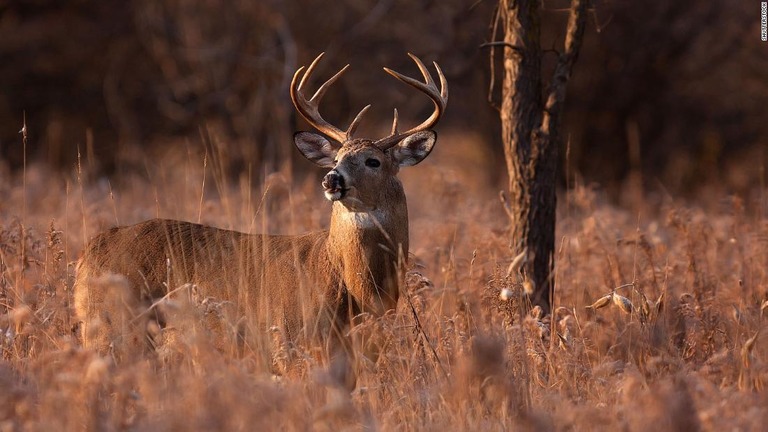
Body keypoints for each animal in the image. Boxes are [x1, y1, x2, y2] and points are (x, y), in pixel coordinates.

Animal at [72, 52, 448, 366]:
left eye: (373, 161)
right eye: (337, 159)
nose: (331, 179)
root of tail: (90, 251)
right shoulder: (290, 337)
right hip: (115, 325)